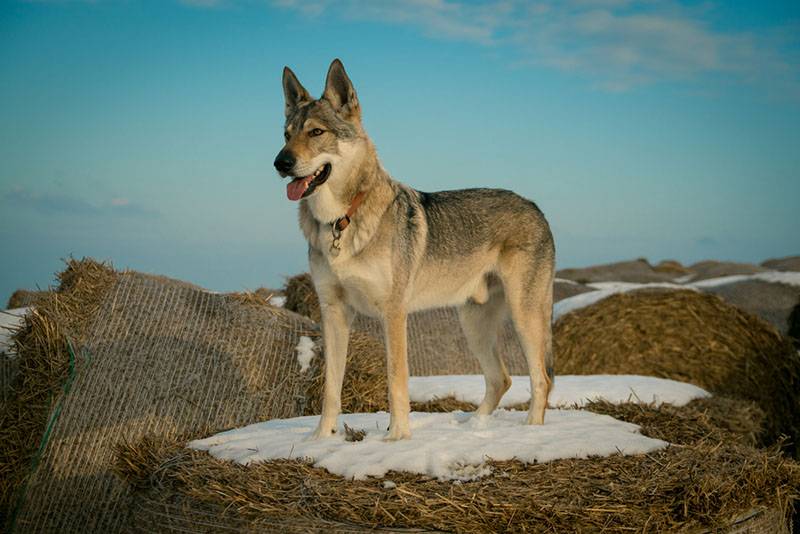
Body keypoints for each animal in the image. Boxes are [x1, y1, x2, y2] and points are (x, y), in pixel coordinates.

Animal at [272, 59, 552, 444]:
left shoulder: (393, 313)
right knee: (502, 379)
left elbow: (396, 380)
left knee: (541, 380)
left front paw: (397, 438)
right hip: (473, 322)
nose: (280, 163)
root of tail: (535, 207)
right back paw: (471, 428)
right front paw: (321, 439)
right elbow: (330, 386)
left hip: (523, 317)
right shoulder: (333, 313)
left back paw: (531, 434)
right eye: (286, 135)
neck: (340, 220)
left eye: (316, 132)